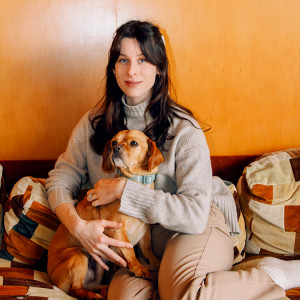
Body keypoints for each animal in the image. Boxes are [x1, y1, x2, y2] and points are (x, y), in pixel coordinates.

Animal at [47, 131, 164, 300]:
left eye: (134, 143)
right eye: (114, 142)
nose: (115, 148)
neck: (136, 184)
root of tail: (52, 280)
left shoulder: (145, 234)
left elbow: (149, 251)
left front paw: (156, 264)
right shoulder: (116, 229)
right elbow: (130, 250)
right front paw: (139, 268)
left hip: (98, 266)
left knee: (86, 286)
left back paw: (102, 289)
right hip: (78, 255)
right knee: (74, 290)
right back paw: (92, 295)